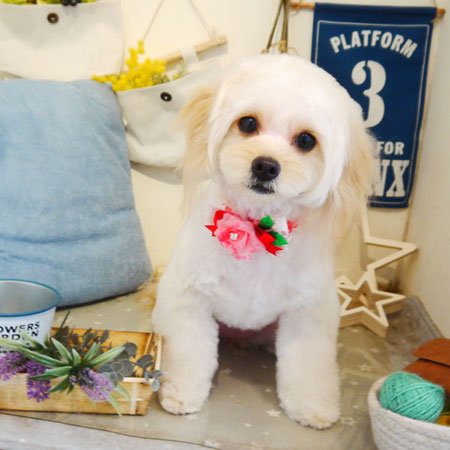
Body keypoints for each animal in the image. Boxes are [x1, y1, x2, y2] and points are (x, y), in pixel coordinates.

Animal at [152, 54, 375, 429]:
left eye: (306, 140)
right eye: (247, 123)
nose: (266, 166)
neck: (257, 229)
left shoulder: (308, 312)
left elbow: (307, 365)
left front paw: (313, 408)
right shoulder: (188, 300)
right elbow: (190, 354)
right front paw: (181, 394)